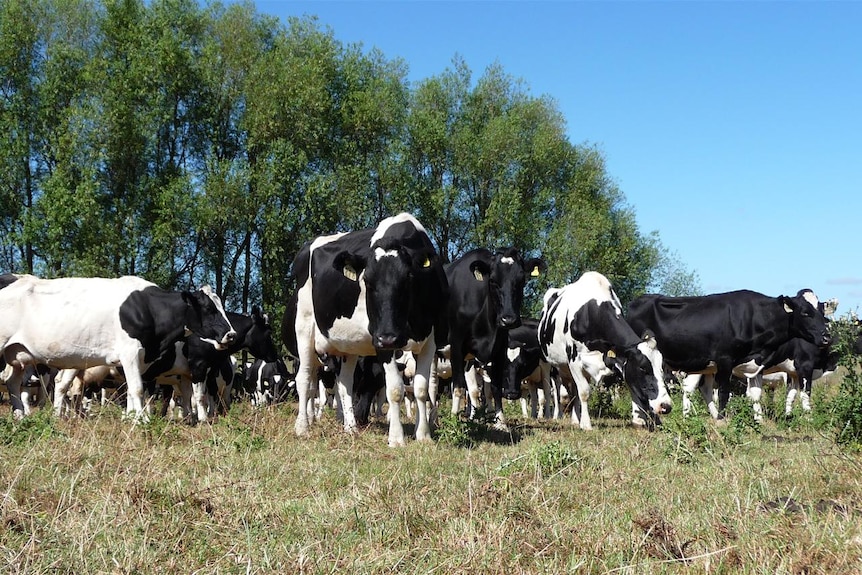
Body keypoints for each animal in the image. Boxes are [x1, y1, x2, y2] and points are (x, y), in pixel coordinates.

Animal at [0, 274, 236, 418]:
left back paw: (21, 416)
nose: (231, 334)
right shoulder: (130, 353)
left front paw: (134, 417)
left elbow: (135, 390)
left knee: (14, 383)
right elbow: (139, 389)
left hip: (17, 355)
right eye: (208, 308)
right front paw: (142, 421)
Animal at [286, 214, 448, 448]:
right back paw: (302, 427)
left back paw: (351, 428)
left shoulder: (430, 339)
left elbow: (421, 388)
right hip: (304, 330)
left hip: (348, 347)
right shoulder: (381, 341)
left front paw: (423, 434)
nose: (388, 337)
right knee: (304, 379)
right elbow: (395, 390)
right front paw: (396, 438)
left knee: (344, 384)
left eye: (409, 278)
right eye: (367, 282)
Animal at [446, 250, 548, 430]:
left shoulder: (499, 350)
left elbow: (495, 388)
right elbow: (458, 387)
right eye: (492, 280)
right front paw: (454, 419)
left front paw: (501, 421)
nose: (509, 319)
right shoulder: (457, 348)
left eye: (522, 280)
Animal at [540, 272, 676, 430]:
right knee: (555, 390)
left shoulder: (615, 357)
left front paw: (638, 420)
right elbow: (584, 392)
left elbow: (630, 384)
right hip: (552, 364)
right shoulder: (574, 359)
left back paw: (575, 419)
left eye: (662, 368)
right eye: (642, 368)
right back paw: (555, 416)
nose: (665, 406)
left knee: (573, 390)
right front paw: (586, 425)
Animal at [628, 286, 836, 418]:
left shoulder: (756, 365)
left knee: (698, 390)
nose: (826, 337)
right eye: (805, 312)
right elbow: (723, 394)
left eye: (822, 313)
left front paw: (759, 421)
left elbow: (757, 395)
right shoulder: (725, 360)